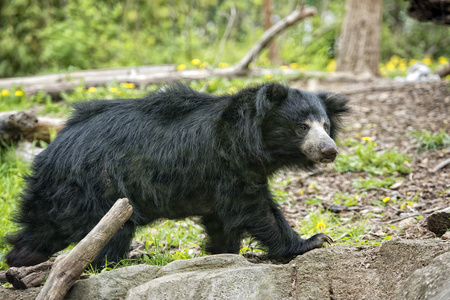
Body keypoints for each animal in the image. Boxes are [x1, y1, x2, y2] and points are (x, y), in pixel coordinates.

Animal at [6, 82, 348, 268]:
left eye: (325, 125)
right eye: (302, 127)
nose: (329, 150)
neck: (254, 142)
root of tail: (51, 152)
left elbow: (222, 218)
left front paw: (220, 251)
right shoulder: (229, 163)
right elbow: (256, 208)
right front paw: (314, 241)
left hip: (63, 196)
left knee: (39, 229)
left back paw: (18, 259)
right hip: (99, 187)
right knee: (108, 234)